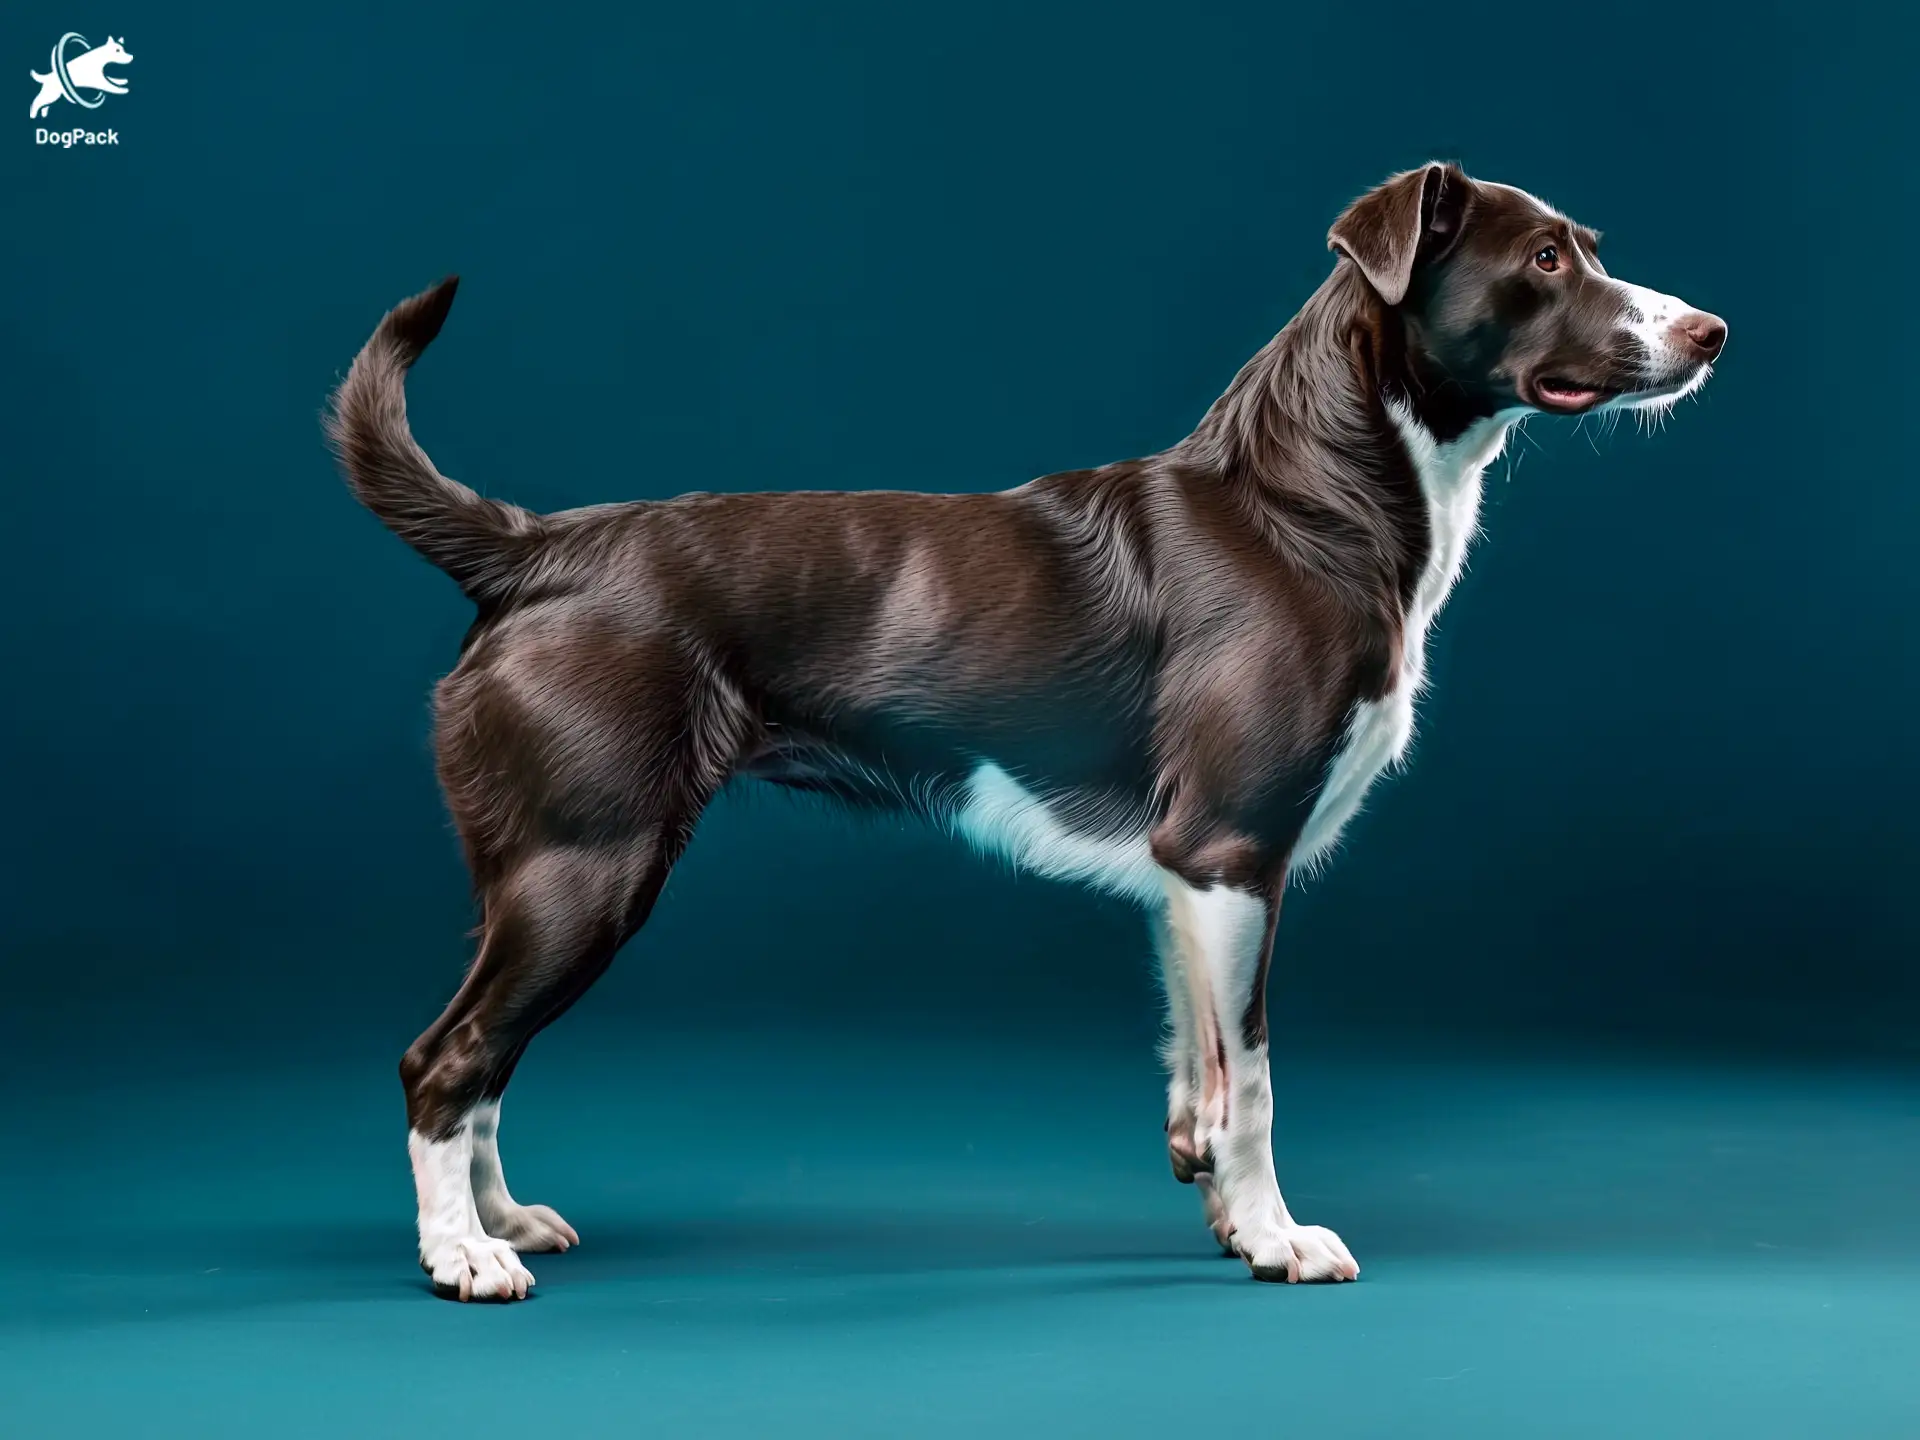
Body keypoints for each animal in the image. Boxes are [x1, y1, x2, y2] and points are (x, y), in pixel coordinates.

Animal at [326, 163, 1728, 1305]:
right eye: (1543, 260)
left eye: (1586, 247)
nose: (1712, 330)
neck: (1306, 501)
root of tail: (533, 549)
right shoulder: (1235, 849)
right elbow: (1257, 1078)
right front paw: (1281, 1241)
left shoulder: (1186, 872)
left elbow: (1199, 1066)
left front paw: (1229, 1222)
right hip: (588, 868)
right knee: (445, 1058)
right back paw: (461, 1257)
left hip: (541, 877)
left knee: (487, 1060)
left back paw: (502, 1218)